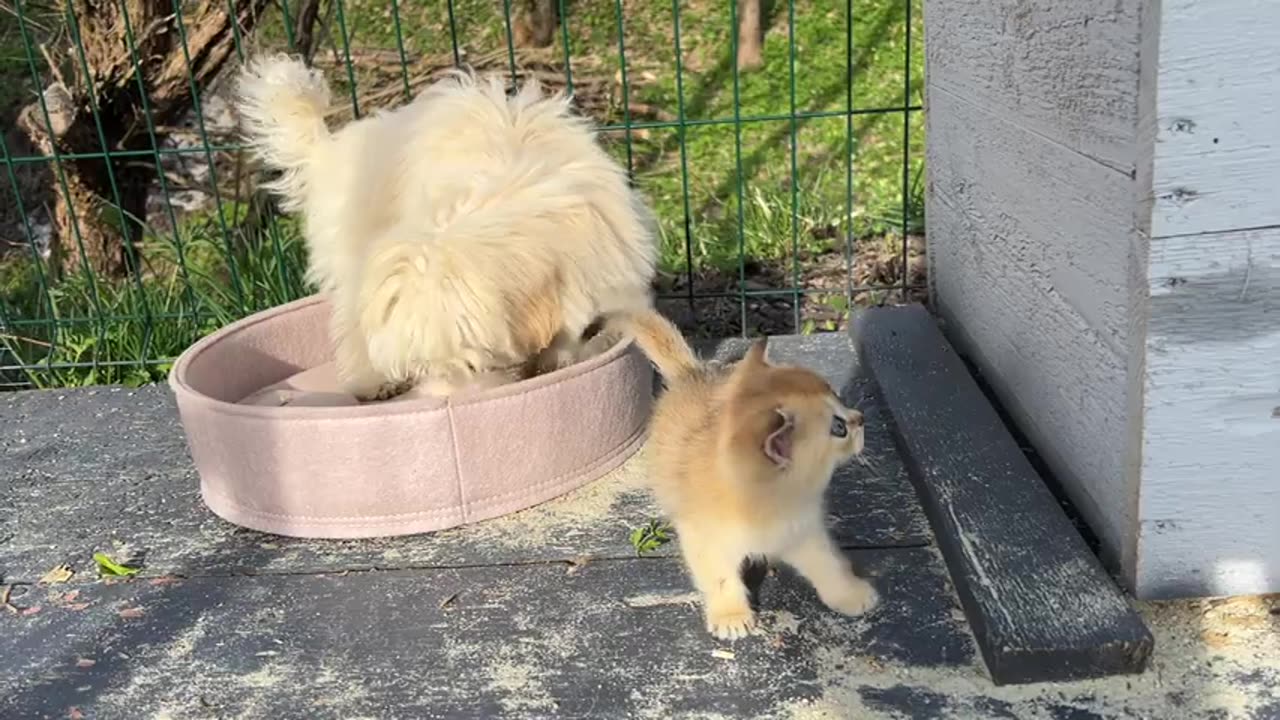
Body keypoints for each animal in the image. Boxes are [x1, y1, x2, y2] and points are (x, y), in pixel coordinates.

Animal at [611, 311, 875, 635]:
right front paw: (731, 615)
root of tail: (693, 374)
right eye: (838, 428)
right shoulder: (704, 540)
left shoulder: (802, 530)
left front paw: (851, 594)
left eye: (838, 395)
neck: (770, 500)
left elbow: (827, 564)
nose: (860, 419)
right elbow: (720, 578)